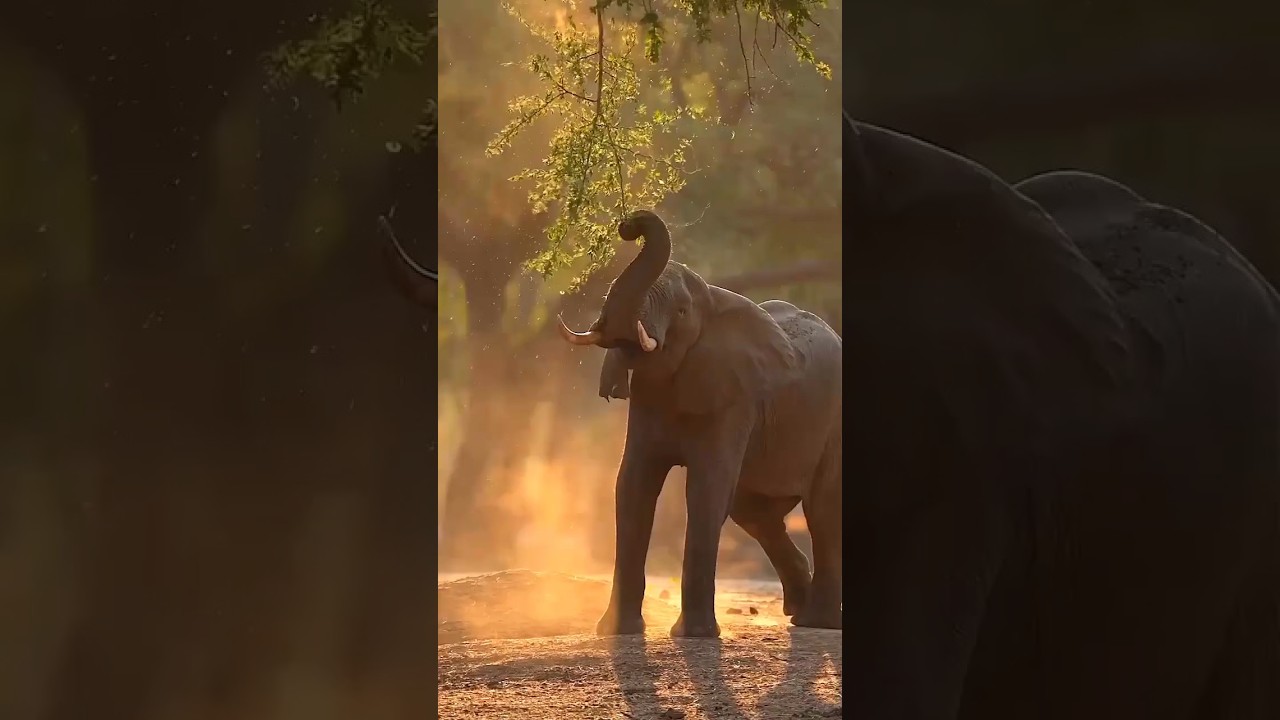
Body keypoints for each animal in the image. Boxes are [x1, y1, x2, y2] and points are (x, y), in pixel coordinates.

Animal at [556, 209, 843, 638]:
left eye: (680, 312)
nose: (629, 225)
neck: (713, 296)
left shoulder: (733, 399)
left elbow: (705, 488)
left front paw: (692, 635)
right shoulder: (648, 401)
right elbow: (632, 486)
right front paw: (615, 632)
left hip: (833, 425)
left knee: (821, 509)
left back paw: (817, 623)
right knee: (753, 511)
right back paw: (798, 608)